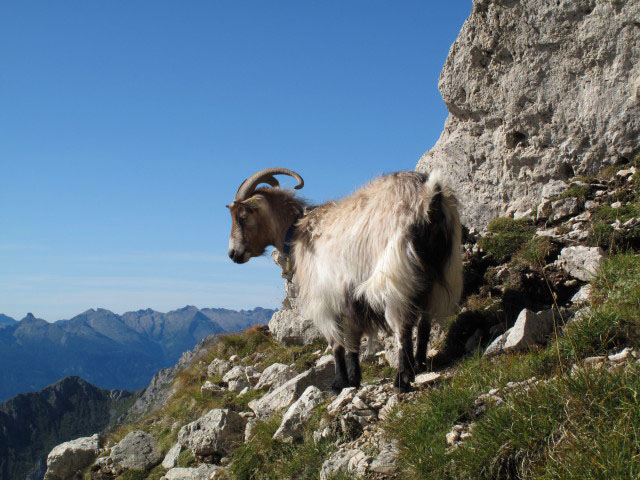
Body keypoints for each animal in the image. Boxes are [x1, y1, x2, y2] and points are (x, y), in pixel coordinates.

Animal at [228, 167, 462, 392]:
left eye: (242, 216)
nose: (232, 254)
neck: (296, 232)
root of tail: (428, 195)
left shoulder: (323, 298)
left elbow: (336, 342)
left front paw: (338, 383)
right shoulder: (350, 296)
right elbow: (353, 338)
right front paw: (354, 379)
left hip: (395, 274)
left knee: (403, 326)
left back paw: (402, 380)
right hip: (438, 272)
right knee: (425, 322)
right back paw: (420, 365)